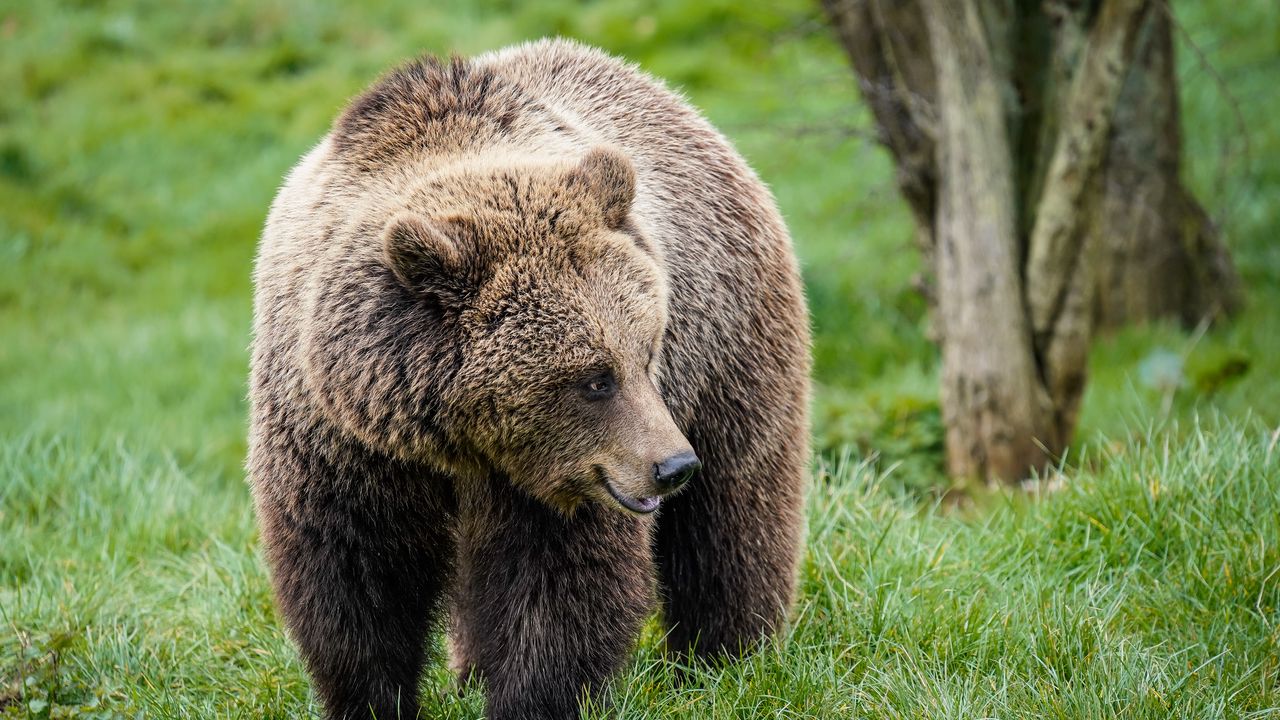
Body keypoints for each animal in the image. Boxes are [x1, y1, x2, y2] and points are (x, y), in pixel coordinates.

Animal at [249, 39, 808, 717]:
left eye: (646, 352)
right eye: (595, 379)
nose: (672, 465)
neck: (451, 437)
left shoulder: (565, 477)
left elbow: (559, 585)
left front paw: (533, 695)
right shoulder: (339, 442)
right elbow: (353, 577)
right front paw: (374, 698)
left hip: (727, 344)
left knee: (735, 510)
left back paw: (726, 657)